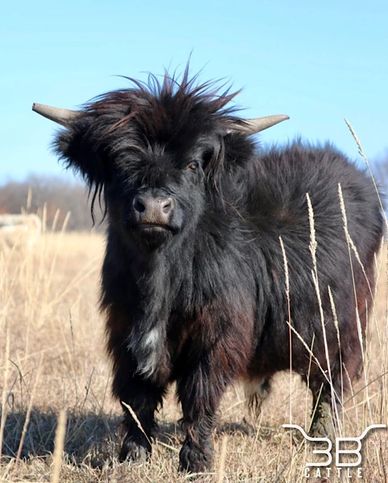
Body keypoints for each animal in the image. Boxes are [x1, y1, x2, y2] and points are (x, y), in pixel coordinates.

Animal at [34, 70, 384, 474]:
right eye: (120, 161)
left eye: (192, 164)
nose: (153, 205)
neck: (160, 277)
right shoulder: (124, 331)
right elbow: (136, 398)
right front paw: (133, 456)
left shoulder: (216, 335)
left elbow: (199, 395)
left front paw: (196, 461)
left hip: (342, 329)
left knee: (330, 384)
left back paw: (322, 438)